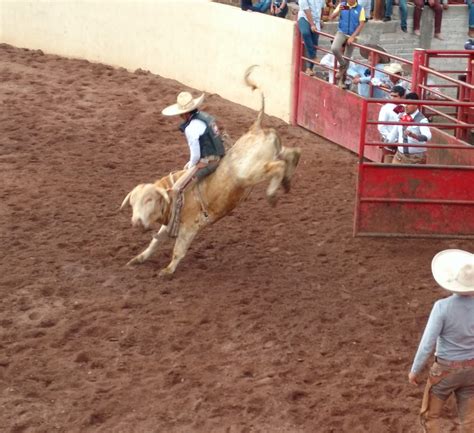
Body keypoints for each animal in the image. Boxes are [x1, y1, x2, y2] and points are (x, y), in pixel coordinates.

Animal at [120, 66, 302, 276]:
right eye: (132, 203)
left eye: (149, 200)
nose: (136, 221)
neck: (173, 195)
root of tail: (255, 128)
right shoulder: (169, 224)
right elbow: (154, 243)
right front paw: (138, 259)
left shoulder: (189, 227)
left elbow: (178, 250)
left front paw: (167, 270)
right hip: (272, 152)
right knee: (292, 153)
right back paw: (287, 181)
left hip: (248, 173)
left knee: (279, 166)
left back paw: (272, 194)